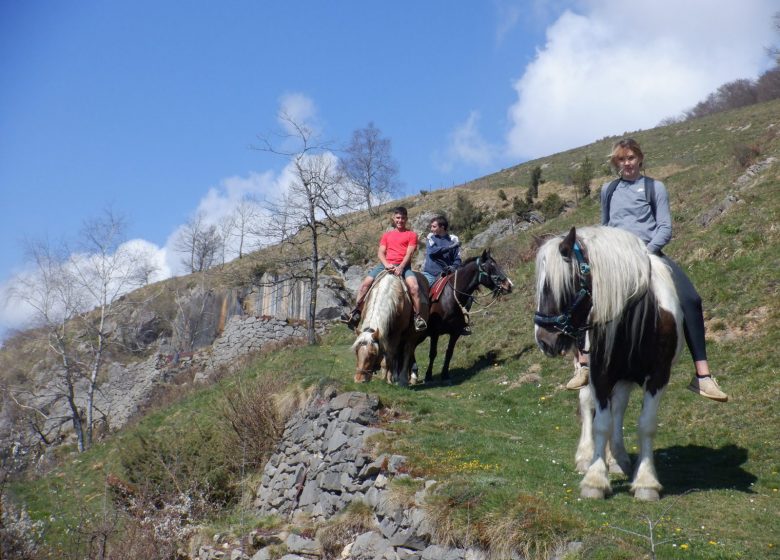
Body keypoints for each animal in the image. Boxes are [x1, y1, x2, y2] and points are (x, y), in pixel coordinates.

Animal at [420, 249, 512, 384]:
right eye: (488, 267)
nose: (508, 285)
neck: (450, 297)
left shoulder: (455, 332)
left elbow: (449, 352)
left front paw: (445, 375)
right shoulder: (435, 333)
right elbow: (433, 353)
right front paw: (428, 376)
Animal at [532, 225, 680, 500]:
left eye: (556, 286)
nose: (544, 340)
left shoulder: (658, 376)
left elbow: (645, 424)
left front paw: (646, 482)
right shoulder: (600, 372)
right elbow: (600, 422)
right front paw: (595, 480)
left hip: (624, 377)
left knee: (618, 409)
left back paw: (618, 459)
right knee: (588, 402)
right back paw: (586, 456)